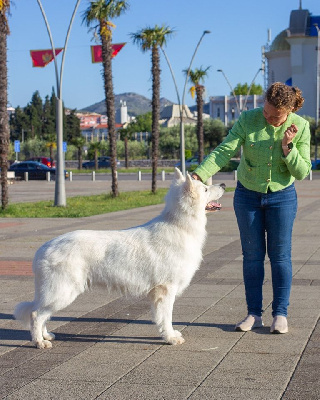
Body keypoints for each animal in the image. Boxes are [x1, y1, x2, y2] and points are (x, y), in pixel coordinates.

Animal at [14, 169, 225, 346]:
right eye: (206, 189)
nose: (223, 184)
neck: (179, 224)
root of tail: (43, 249)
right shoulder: (166, 290)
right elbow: (166, 318)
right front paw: (170, 338)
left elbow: (161, 318)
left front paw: (169, 334)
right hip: (62, 292)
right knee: (36, 314)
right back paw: (39, 342)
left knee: (41, 314)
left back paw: (46, 336)